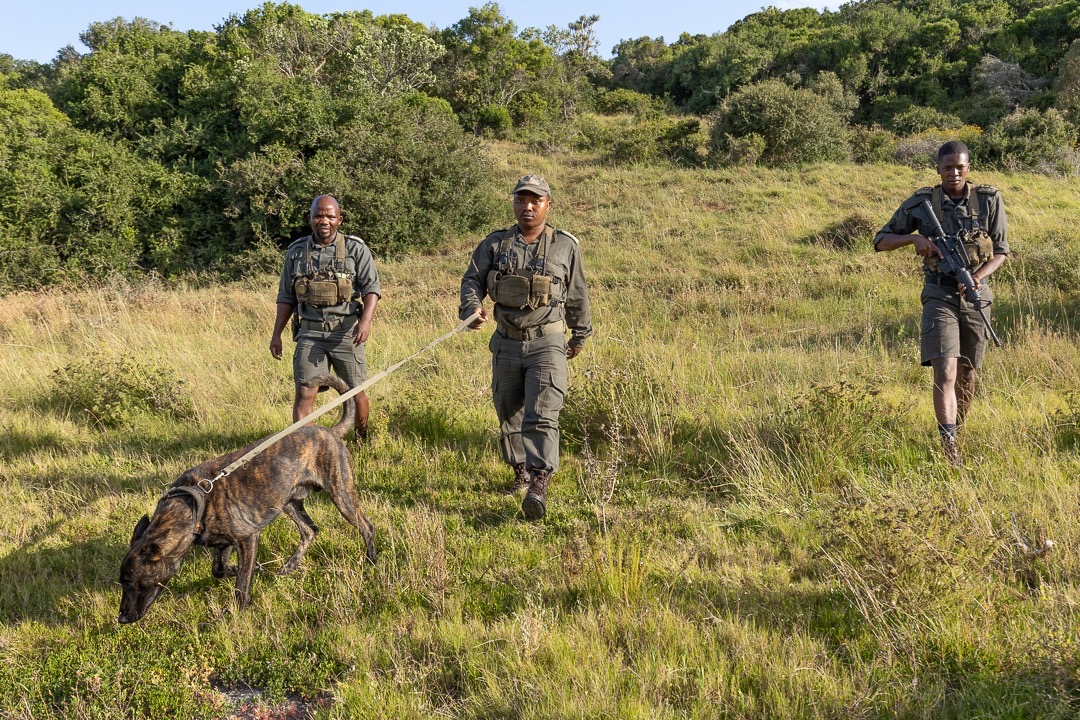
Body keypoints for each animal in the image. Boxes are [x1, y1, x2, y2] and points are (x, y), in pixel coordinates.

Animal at [117, 377, 375, 626]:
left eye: (134, 582)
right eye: (123, 583)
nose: (121, 618)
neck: (192, 503)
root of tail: (329, 432)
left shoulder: (247, 539)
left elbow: (241, 585)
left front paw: (233, 614)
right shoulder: (223, 542)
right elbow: (218, 570)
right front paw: (249, 569)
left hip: (341, 494)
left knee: (366, 526)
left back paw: (371, 560)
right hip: (286, 502)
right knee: (310, 530)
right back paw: (291, 565)